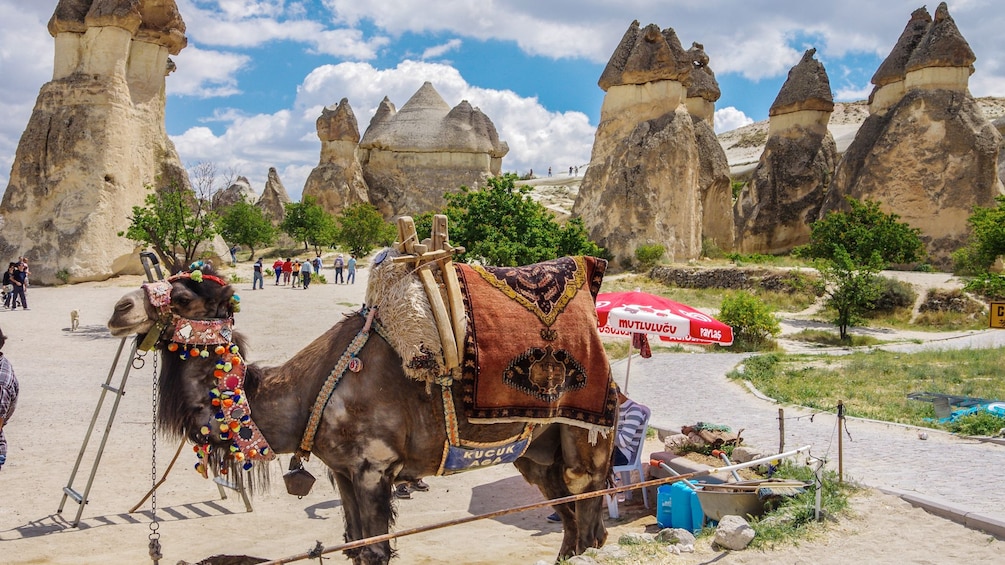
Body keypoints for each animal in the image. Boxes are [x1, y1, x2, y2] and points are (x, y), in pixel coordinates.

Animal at [108, 261, 611, 558]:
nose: (119, 309)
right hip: (537, 452)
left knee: (586, 516)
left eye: (183, 297)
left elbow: (375, 549)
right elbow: (353, 544)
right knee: (571, 523)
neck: (303, 397)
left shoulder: (374, 467)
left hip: (585, 439)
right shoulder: (342, 471)